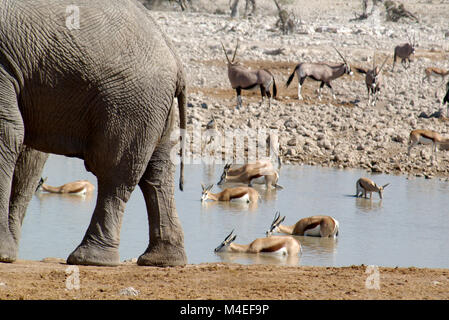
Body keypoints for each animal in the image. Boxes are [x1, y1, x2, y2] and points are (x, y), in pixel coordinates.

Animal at [0, 0, 186, 268]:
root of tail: (174, 56)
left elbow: (9, 132)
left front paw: (3, 255)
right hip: (155, 106)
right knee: (157, 172)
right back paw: (161, 260)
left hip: (130, 102)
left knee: (113, 172)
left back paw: (90, 259)